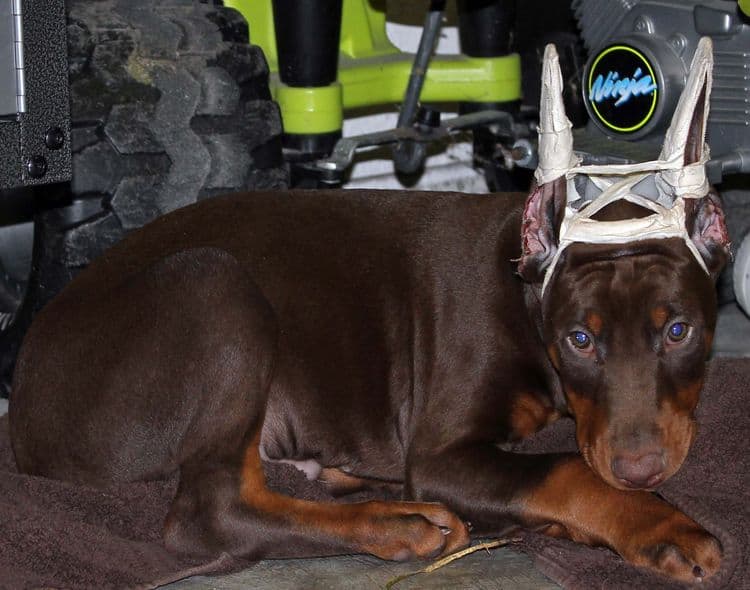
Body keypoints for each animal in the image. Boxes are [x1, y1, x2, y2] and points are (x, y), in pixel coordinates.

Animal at [8, 40, 732, 584]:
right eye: (580, 338)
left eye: (678, 331)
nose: (642, 470)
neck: (524, 294)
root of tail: (21, 413)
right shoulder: (440, 454)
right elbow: (565, 468)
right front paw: (663, 525)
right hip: (212, 282)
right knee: (208, 513)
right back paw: (399, 522)